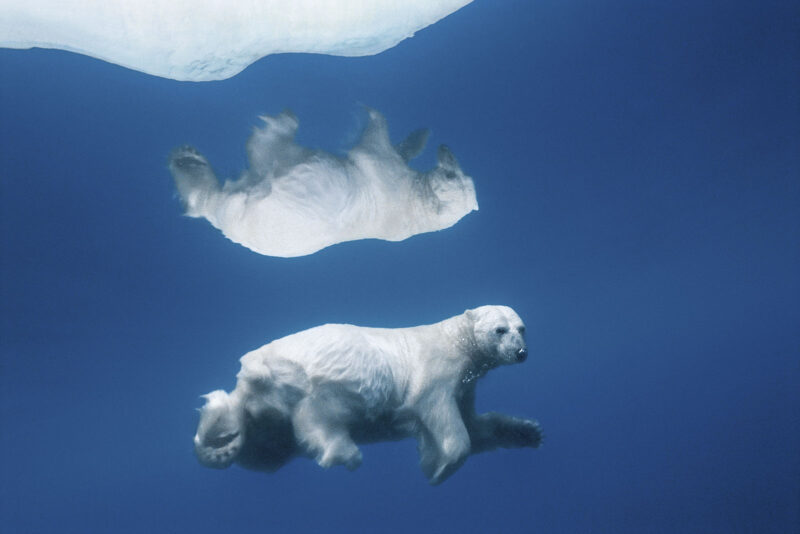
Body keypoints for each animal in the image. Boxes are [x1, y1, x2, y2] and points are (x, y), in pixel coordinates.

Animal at [169, 108, 478, 258]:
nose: (446, 150)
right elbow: (398, 148)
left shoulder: (384, 177)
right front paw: (420, 136)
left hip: (253, 208)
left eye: (452, 175)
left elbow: (374, 141)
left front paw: (370, 113)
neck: (416, 206)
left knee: (260, 157)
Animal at [194, 306, 544, 486]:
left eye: (522, 328)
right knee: (318, 419)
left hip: (269, 420)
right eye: (500, 330)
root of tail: (249, 378)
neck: (455, 340)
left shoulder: (466, 384)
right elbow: (441, 415)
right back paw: (343, 453)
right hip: (316, 383)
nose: (521, 352)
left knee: (263, 452)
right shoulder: (436, 370)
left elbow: (477, 425)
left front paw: (528, 431)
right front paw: (439, 467)